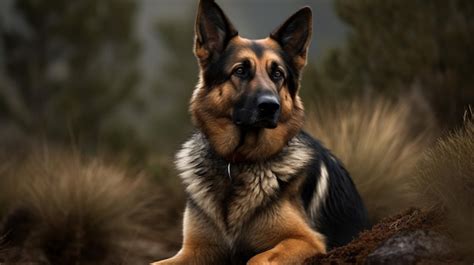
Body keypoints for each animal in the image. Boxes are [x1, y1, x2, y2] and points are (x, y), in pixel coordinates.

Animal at [153, 1, 370, 262]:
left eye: (277, 74)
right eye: (240, 71)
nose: (270, 106)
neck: (236, 163)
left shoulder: (305, 240)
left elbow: (256, 258)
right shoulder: (194, 250)